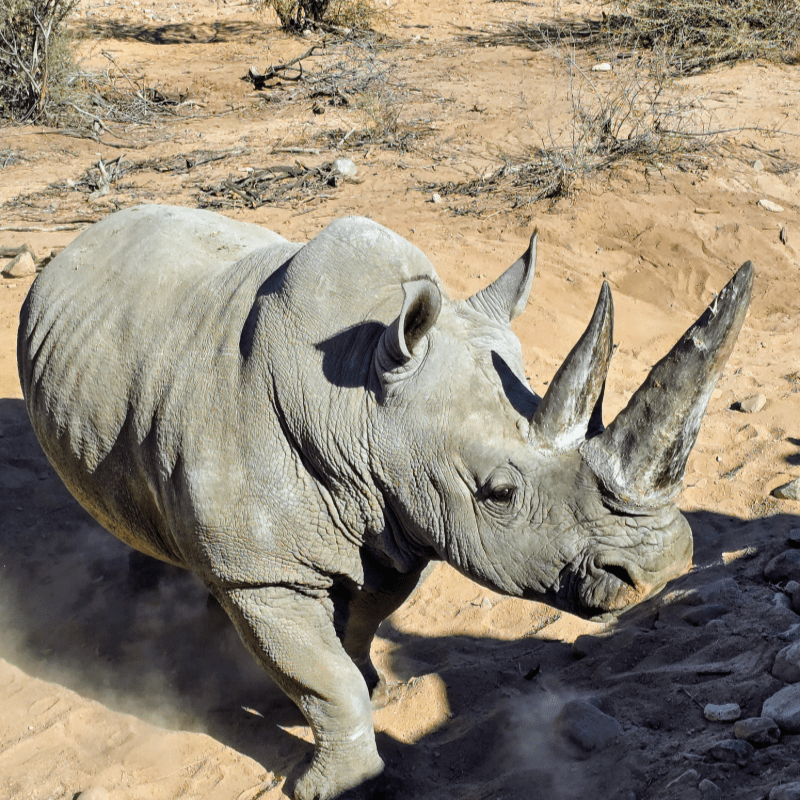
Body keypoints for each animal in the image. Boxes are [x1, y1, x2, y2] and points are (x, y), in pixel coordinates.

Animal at [18, 205, 752, 799]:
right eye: (500, 494)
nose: (663, 569)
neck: (360, 408)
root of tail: (91, 231)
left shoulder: (403, 515)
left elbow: (363, 625)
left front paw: (373, 685)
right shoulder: (266, 575)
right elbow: (321, 674)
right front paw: (338, 785)